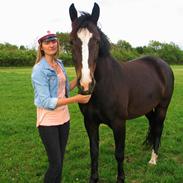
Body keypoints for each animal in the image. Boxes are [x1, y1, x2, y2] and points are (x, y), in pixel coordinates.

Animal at [69, 3, 174, 183]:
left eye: (97, 41)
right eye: (71, 41)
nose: (86, 85)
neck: (104, 86)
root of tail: (162, 64)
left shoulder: (119, 123)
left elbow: (119, 153)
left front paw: (121, 178)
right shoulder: (90, 122)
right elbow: (94, 152)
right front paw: (94, 179)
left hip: (162, 107)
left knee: (159, 127)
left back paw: (153, 159)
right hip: (147, 109)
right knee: (153, 125)